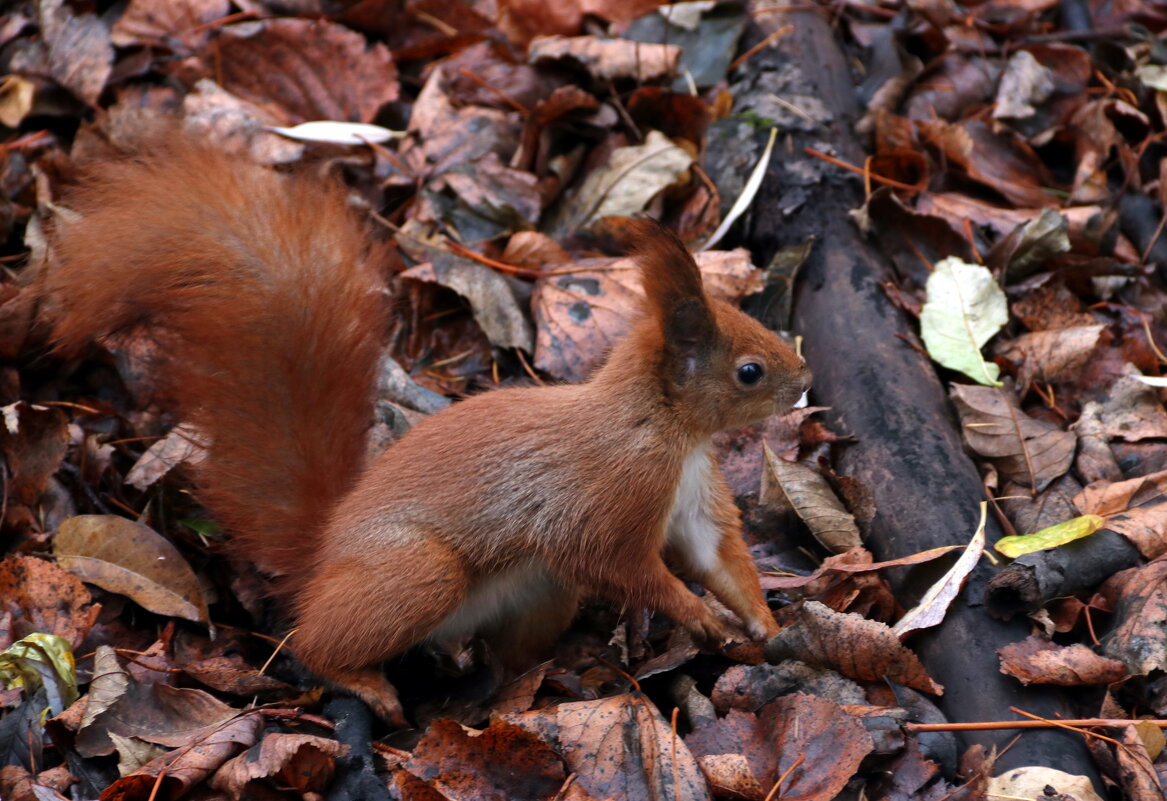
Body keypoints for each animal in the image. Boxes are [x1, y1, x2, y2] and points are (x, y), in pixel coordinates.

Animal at [43, 136, 812, 728]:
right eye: (749, 371)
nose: (805, 378)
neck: (667, 431)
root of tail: (323, 554)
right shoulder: (611, 495)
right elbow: (622, 564)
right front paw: (696, 614)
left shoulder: (693, 495)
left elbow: (718, 555)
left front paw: (766, 623)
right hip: (417, 574)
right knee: (310, 642)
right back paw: (367, 682)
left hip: (537, 594)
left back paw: (506, 684)